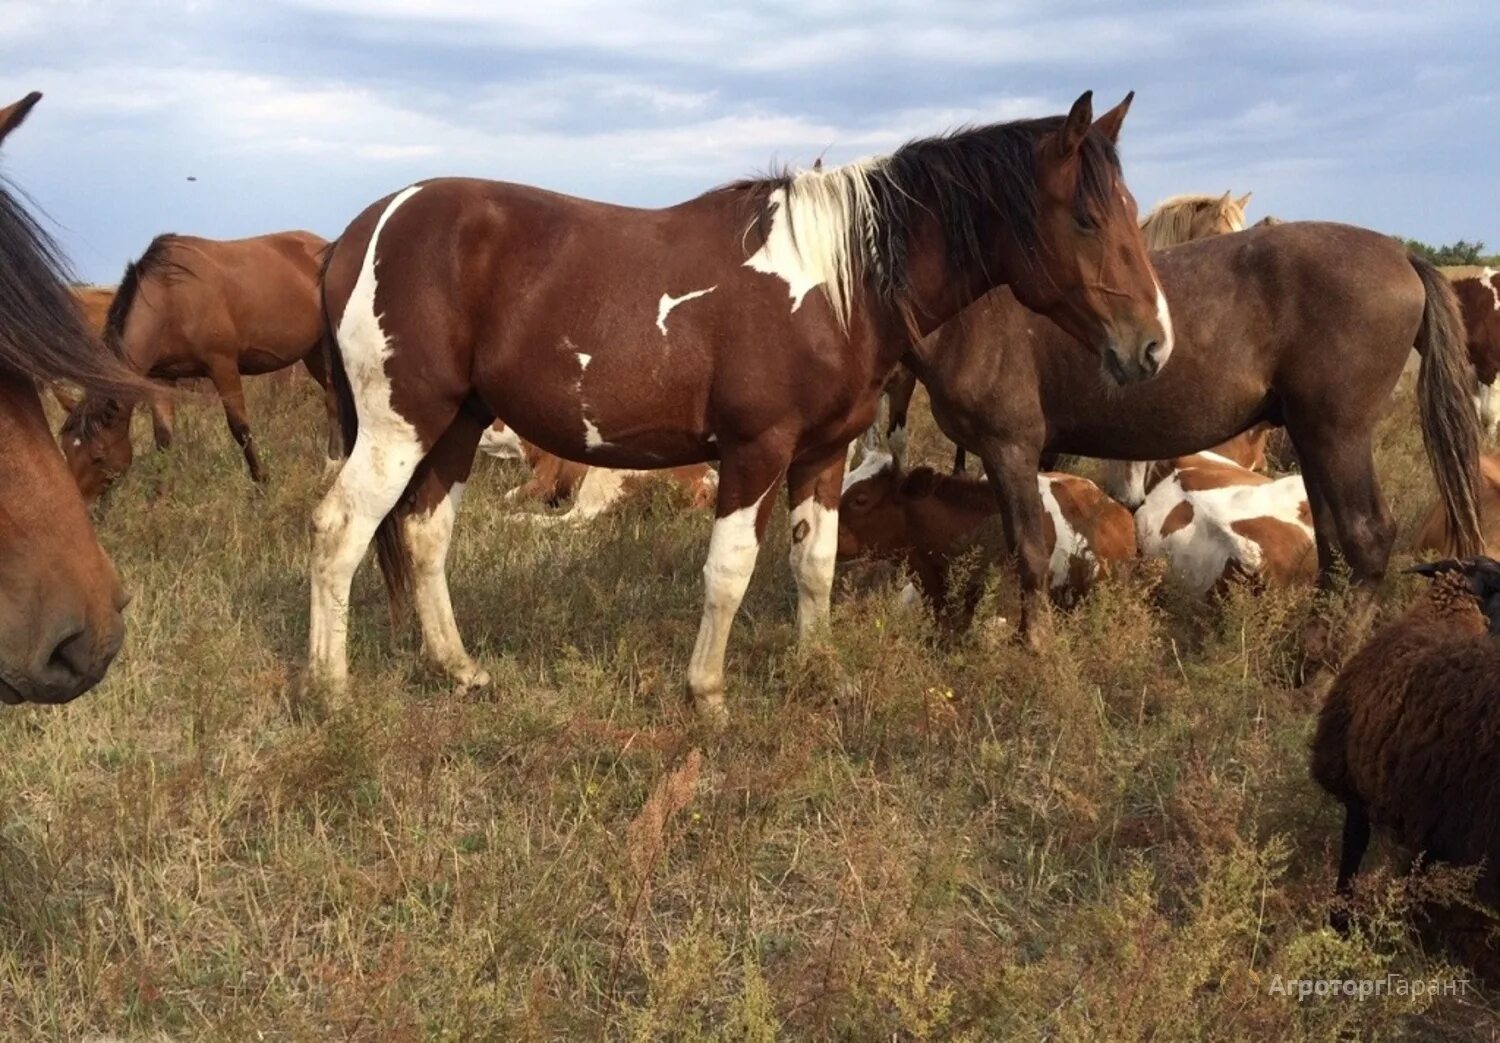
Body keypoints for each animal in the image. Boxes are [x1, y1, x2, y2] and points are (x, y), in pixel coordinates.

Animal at [61, 232, 334, 501]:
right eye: (66, 450)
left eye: (97, 456)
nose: (82, 505)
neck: (169, 296)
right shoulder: (160, 379)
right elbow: (163, 438)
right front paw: (160, 499)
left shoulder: (223, 366)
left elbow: (240, 428)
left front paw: (261, 486)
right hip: (313, 353)